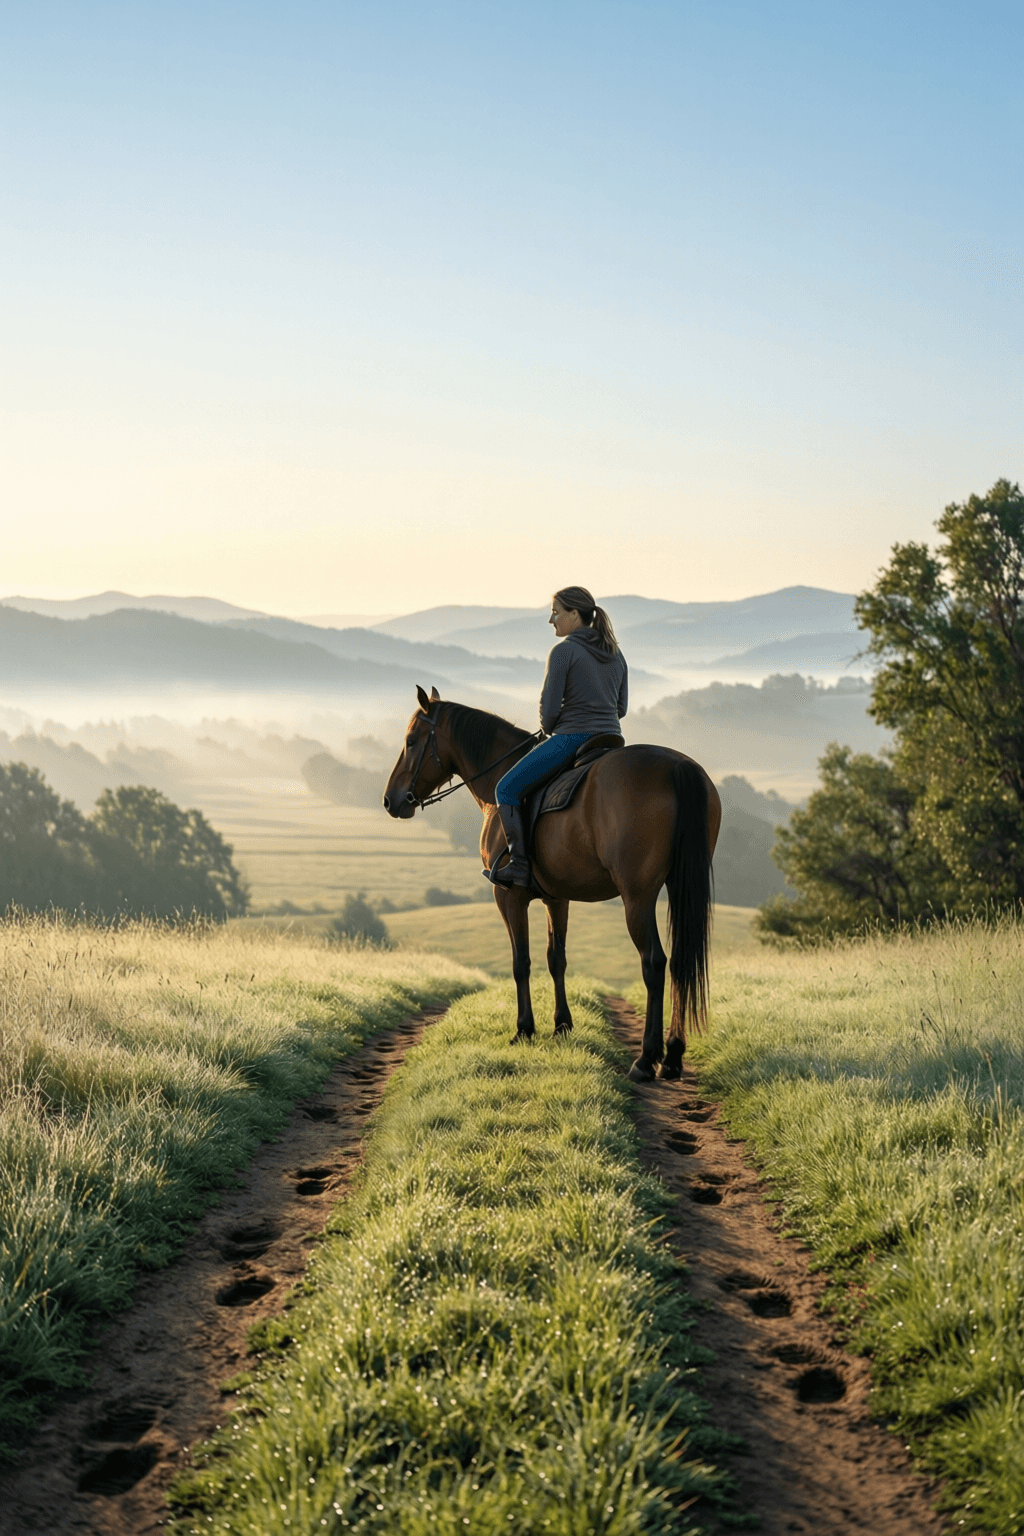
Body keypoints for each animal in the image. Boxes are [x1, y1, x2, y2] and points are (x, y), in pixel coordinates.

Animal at [383, 686, 721, 1081]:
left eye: (411, 741)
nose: (390, 800)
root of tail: (676, 766)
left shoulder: (508, 896)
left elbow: (521, 962)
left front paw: (524, 1028)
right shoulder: (557, 898)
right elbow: (556, 958)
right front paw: (562, 1025)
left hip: (638, 897)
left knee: (653, 962)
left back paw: (646, 1058)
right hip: (677, 887)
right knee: (682, 962)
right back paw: (672, 1057)